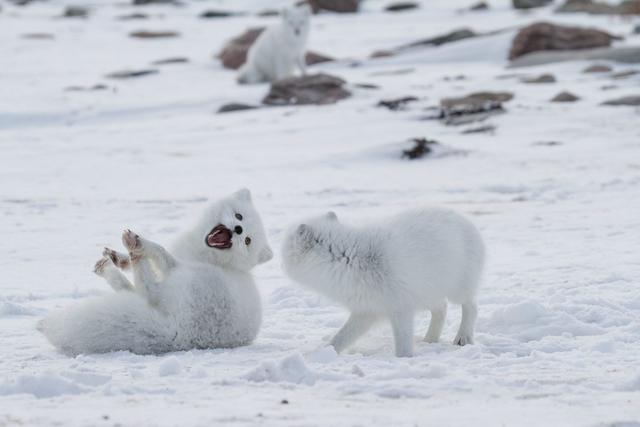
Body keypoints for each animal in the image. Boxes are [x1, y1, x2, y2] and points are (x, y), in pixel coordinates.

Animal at [37, 191, 272, 358]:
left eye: (248, 241)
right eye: (239, 215)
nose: (239, 229)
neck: (206, 255)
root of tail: (180, 336)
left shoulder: (175, 263)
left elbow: (160, 250)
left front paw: (138, 246)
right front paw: (120, 259)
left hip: (186, 279)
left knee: (147, 288)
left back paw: (134, 247)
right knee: (136, 290)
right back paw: (112, 264)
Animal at [282, 209, 484, 356]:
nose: (279, 260)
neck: (350, 259)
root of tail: (466, 221)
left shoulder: (400, 307)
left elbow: (403, 342)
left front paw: (405, 359)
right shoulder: (366, 310)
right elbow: (342, 337)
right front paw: (322, 353)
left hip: (458, 289)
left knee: (471, 307)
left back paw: (463, 338)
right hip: (428, 293)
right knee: (442, 309)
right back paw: (430, 339)